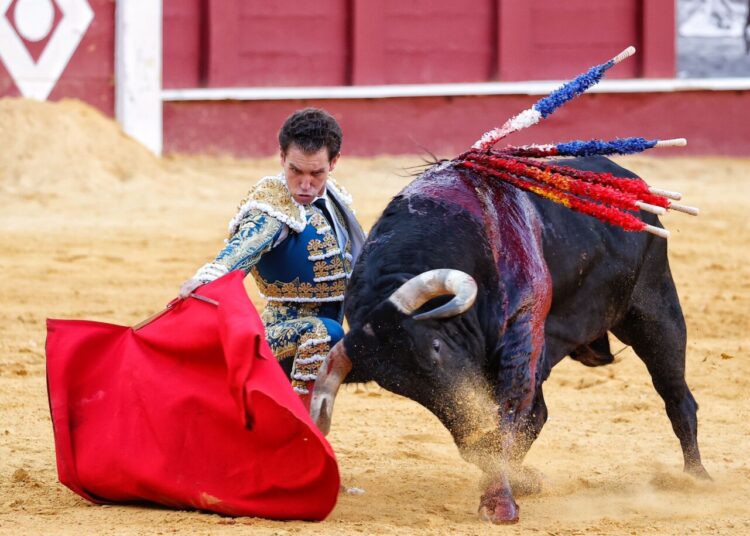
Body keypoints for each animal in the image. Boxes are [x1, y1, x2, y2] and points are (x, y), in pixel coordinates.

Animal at [308, 155, 708, 524]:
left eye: (436, 348)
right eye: (401, 388)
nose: (477, 428)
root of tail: (626, 178)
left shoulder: (522, 331)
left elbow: (510, 414)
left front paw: (499, 504)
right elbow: (501, 431)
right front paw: (509, 484)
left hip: (655, 310)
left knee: (677, 396)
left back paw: (695, 478)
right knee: (539, 413)